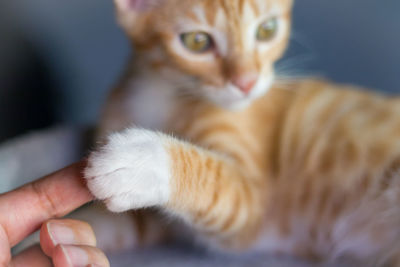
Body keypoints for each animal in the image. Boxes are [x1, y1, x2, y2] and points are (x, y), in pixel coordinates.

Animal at [83, 0, 400, 266]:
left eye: (267, 30)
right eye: (197, 42)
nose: (247, 83)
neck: (161, 93)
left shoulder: (252, 206)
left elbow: (218, 180)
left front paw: (140, 161)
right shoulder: (161, 224)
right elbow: (109, 223)